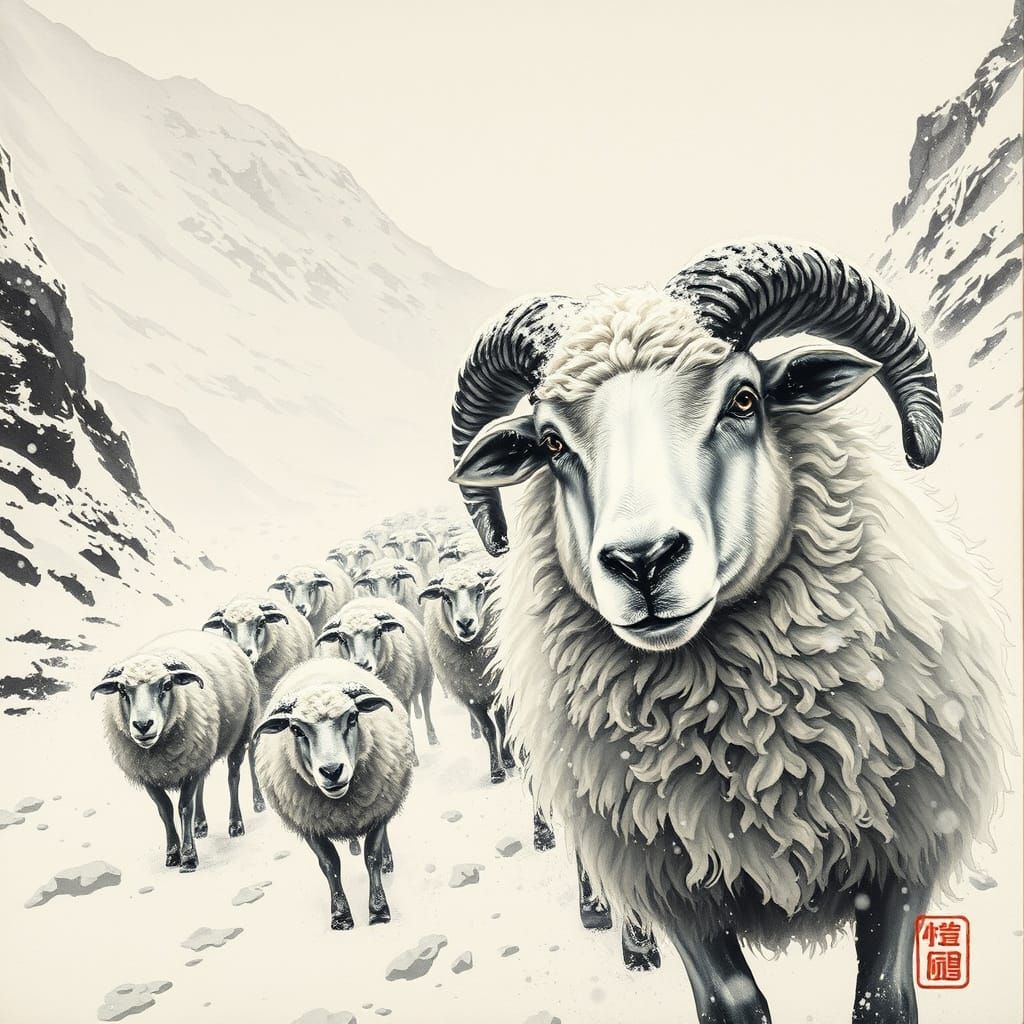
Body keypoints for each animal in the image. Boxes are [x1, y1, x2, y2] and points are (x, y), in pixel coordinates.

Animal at [91, 629, 259, 873]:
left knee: (233, 777)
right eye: (122, 690)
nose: (143, 725)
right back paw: (200, 826)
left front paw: (189, 857)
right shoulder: (150, 776)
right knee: (203, 783)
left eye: (168, 685)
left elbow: (184, 808)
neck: (157, 754)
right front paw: (172, 854)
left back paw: (235, 824)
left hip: (240, 734)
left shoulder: (190, 768)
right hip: (201, 749)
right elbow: (165, 811)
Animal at [253, 660, 414, 930]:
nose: (331, 771)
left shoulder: (377, 810)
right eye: (295, 729)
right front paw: (341, 916)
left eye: (353, 717)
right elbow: (330, 865)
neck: (342, 803)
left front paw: (378, 911)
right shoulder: (308, 824)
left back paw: (388, 861)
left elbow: (372, 857)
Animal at [315, 597, 439, 762]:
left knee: (426, 707)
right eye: (341, 638)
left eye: (379, 632)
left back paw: (432, 737)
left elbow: (406, 724)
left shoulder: (402, 698)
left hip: (427, 681)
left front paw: (412, 758)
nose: (363, 665)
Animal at [419, 562, 512, 784]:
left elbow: (501, 723)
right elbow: (488, 730)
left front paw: (507, 758)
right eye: (445, 596)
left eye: (480, 590)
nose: (465, 623)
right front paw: (496, 771)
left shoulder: (498, 687)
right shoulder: (469, 696)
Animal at [447, 242, 1010, 1023]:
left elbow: (884, 1000)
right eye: (552, 442)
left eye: (744, 399)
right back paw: (613, 926)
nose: (643, 560)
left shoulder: (906, 859)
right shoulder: (678, 894)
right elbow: (731, 1005)